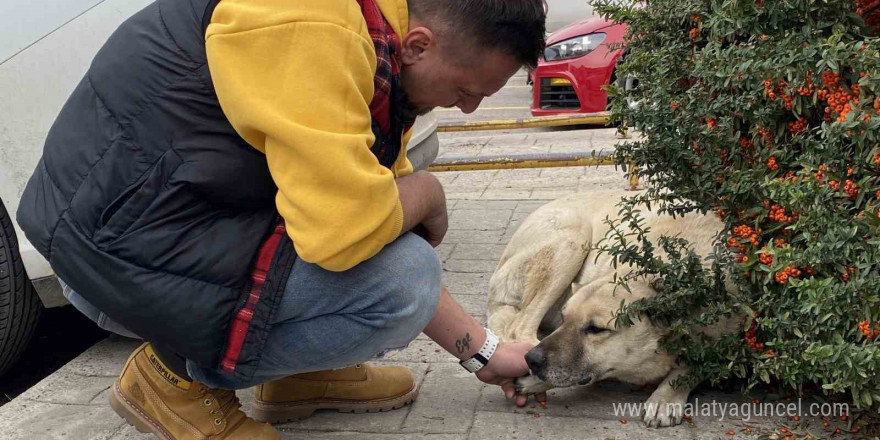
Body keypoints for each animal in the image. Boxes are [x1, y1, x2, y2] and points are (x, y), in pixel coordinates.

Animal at [488, 188, 736, 426]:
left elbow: (691, 368)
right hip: (573, 236)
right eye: (565, 318)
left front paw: (666, 398)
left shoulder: (724, 346)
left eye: (596, 329)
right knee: (519, 328)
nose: (530, 360)